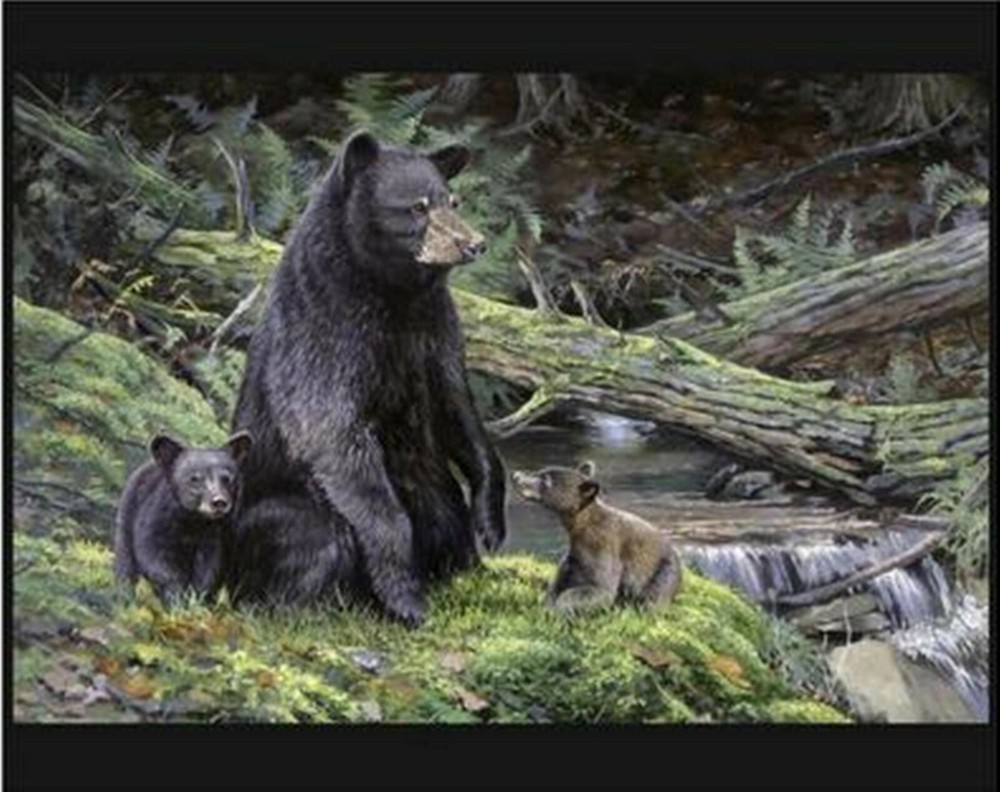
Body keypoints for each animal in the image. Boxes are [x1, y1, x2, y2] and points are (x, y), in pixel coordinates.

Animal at [114, 431, 253, 606]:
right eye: (195, 479)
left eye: (227, 478)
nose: (219, 502)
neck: (192, 521)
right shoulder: (156, 519)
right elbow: (153, 555)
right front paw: (177, 596)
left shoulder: (214, 535)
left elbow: (209, 566)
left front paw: (196, 600)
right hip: (127, 514)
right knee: (125, 561)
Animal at [228, 131, 507, 626]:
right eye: (417, 206)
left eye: (452, 199)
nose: (474, 243)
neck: (392, 291)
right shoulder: (327, 330)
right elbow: (331, 430)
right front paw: (404, 597)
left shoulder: (433, 328)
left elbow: (456, 405)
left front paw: (490, 523)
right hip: (267, 510)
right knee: (315, 535)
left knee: (442, 508)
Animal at [511, 461, 683, 615]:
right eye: (541, 471)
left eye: (546, 479)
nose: (516, 476)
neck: (580, 527)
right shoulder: (574, 556)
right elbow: (559, 582)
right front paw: (548, 602)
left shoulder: (602, 546)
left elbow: (600, 588)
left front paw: (559, 609)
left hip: (664, 571)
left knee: (654, 596)